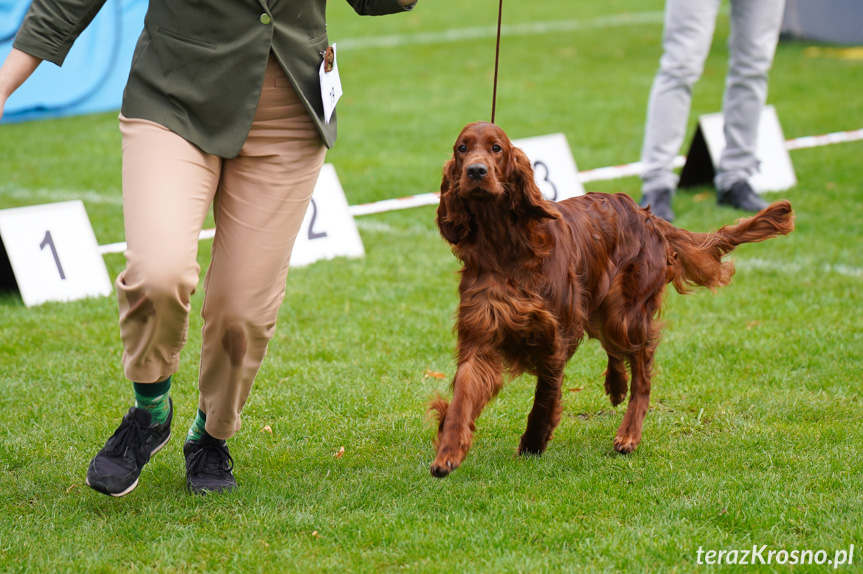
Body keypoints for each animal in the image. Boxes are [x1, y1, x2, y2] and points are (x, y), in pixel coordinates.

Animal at [432, 122, 796, 482]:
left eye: (496, 148)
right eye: (462, 149)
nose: (476, 171)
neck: (504, 245)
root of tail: (647, 216)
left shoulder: (554, 336)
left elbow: (544, 398)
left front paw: (534, 442)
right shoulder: (482, 333)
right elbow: (463, 396)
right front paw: (448, 452)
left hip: (625, 313)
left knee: (643, 369)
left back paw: (629, 434)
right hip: (601, 309)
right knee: (617, 350)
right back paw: (616, 385)